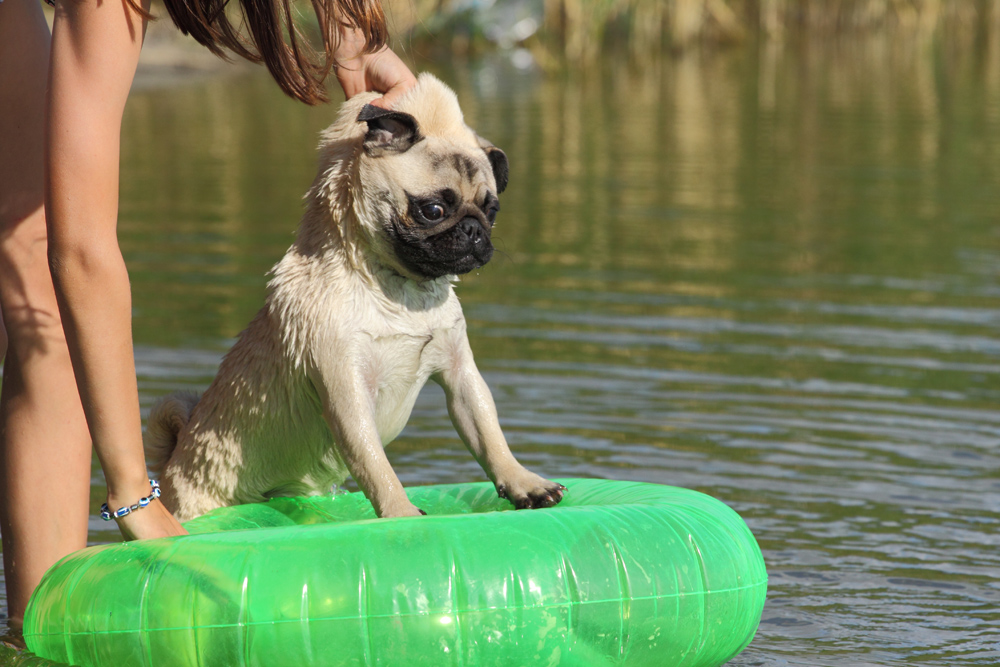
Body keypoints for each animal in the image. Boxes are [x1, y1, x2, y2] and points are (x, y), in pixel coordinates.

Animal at [144, 73, 564, 520]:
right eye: (432, 210)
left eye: (492, 210)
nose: (473, 229)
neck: (403, 292)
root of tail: (174, 458)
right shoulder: (347, 391)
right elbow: (375, 465)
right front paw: (401, 512)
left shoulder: (460, 373)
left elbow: (489, 432)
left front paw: (524, 482)